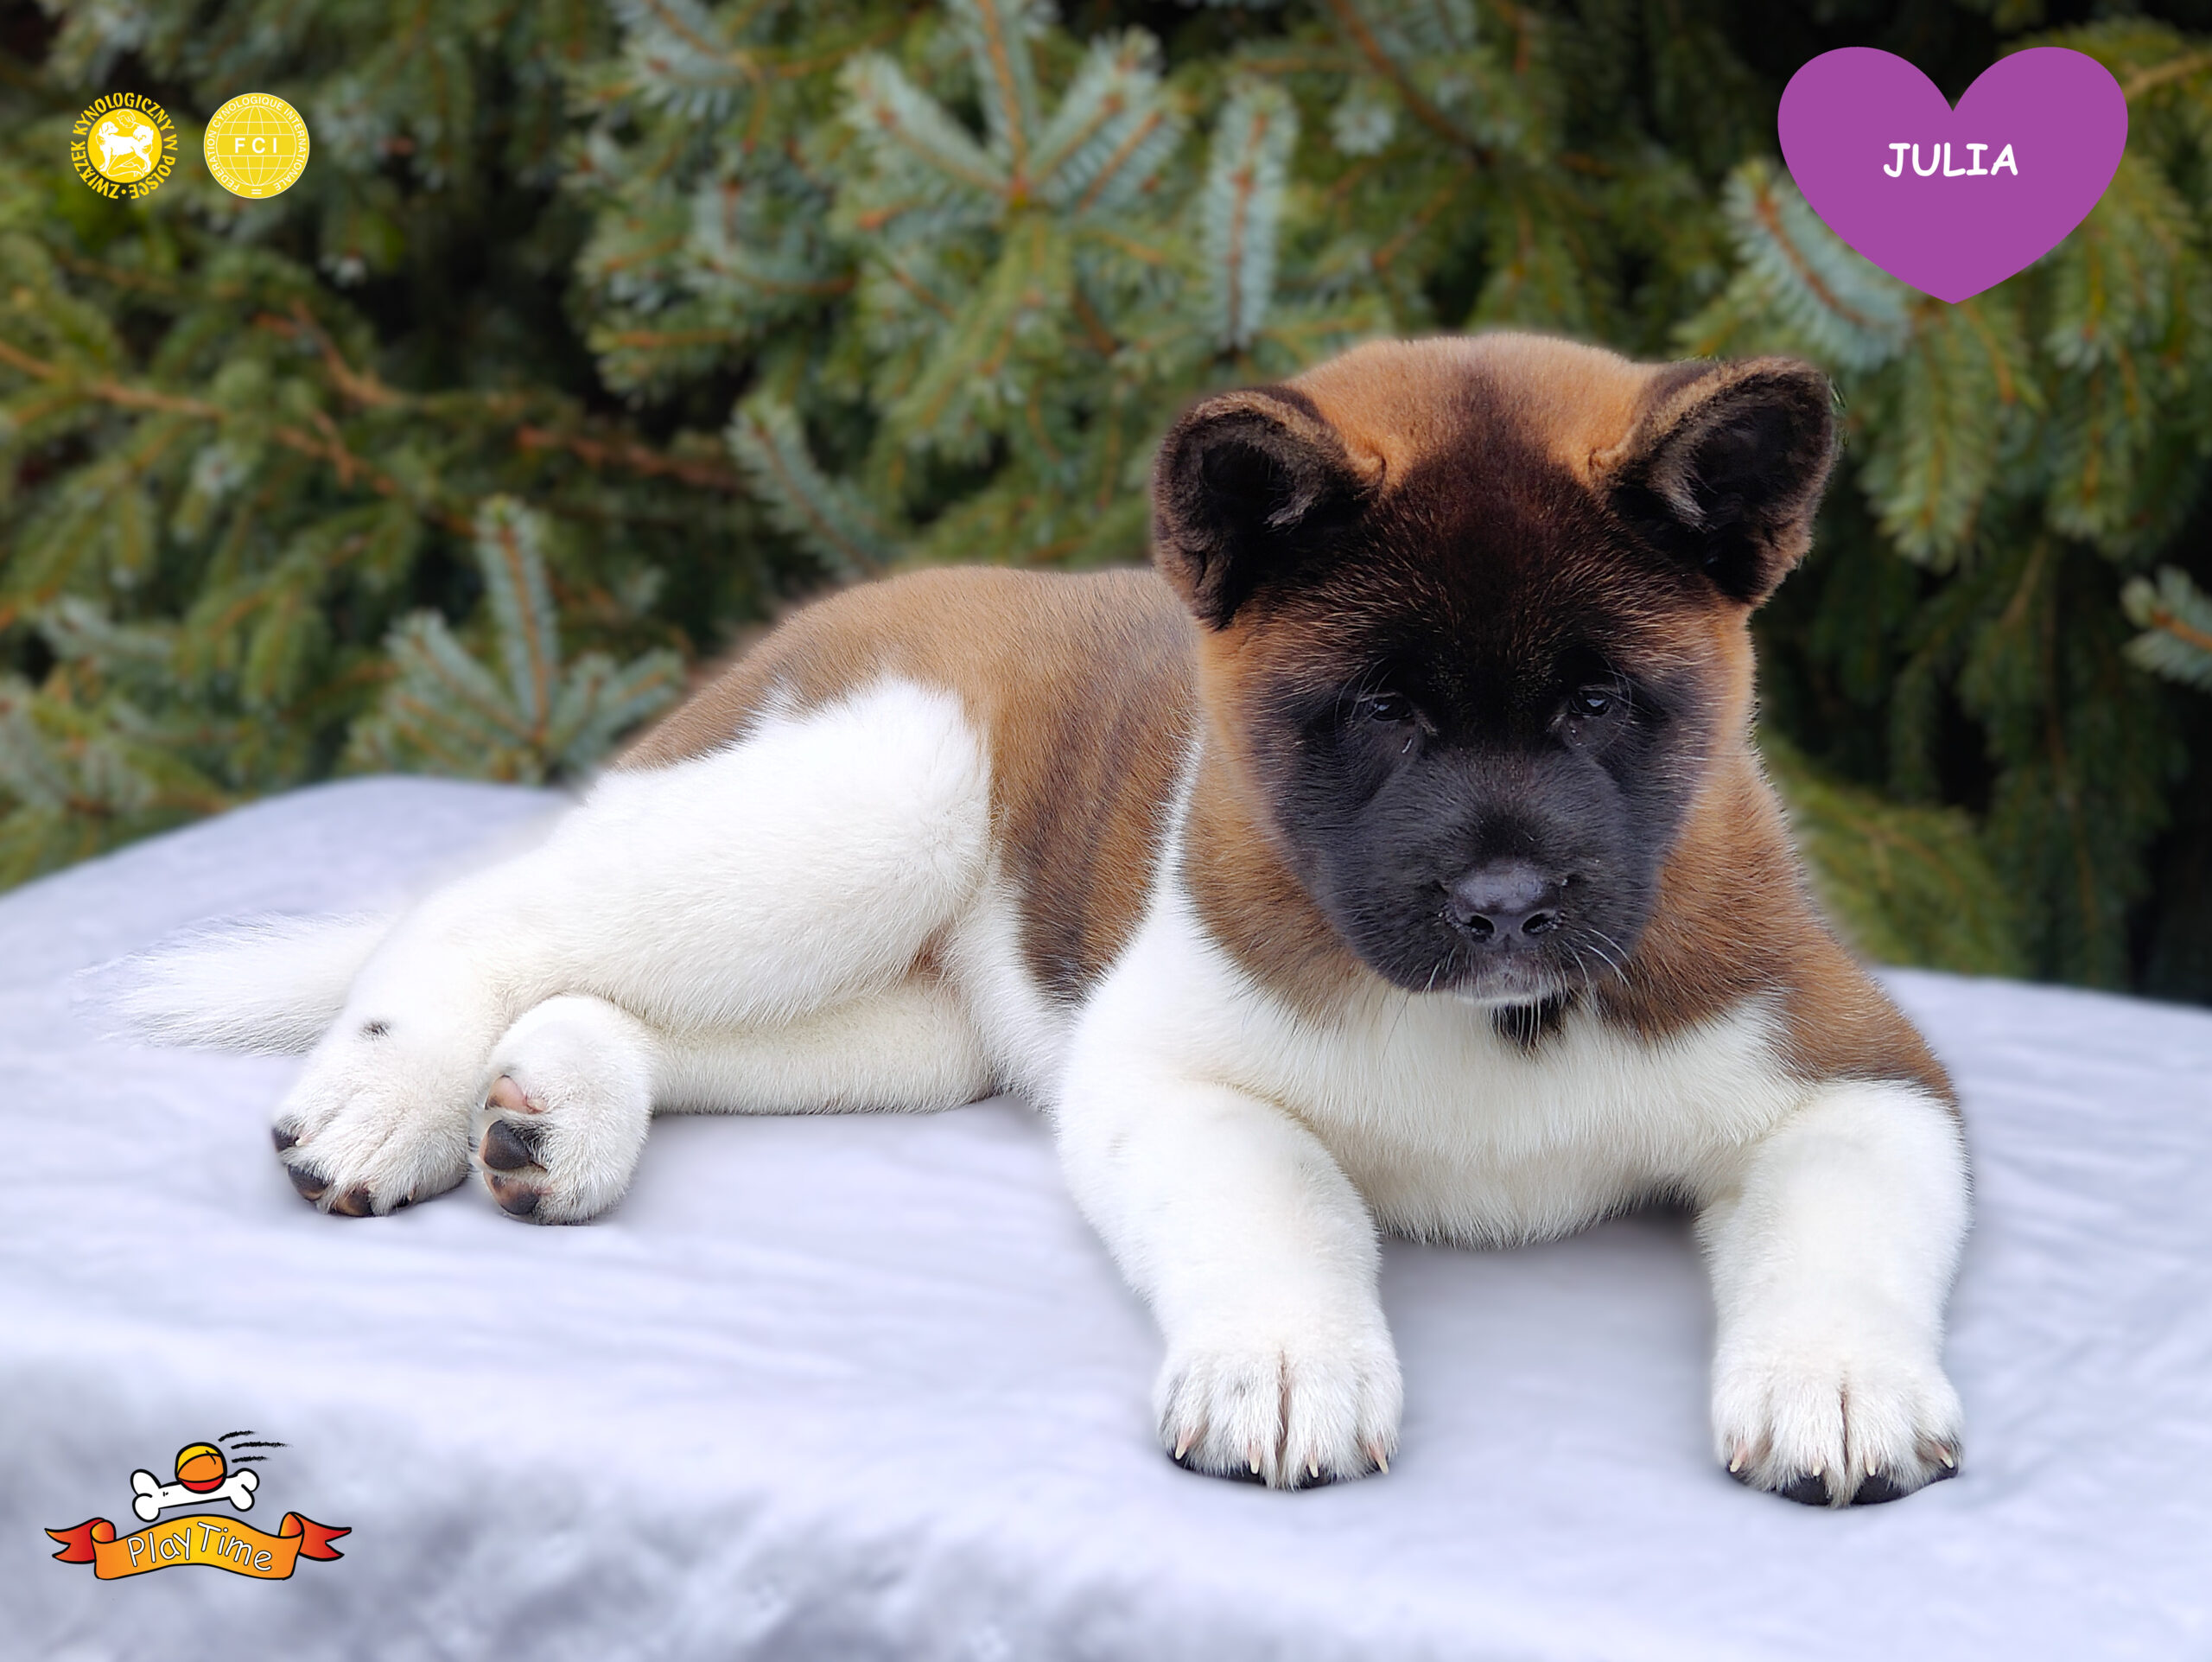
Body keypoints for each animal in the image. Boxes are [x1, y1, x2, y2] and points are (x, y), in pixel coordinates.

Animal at [116, 333, 1968, 1507]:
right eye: (1381, 710)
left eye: (1599, 705)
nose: (1508, 905)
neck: (1492, 1034)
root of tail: (822, 621)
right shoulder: (1168, 1072)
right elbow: (1282, 1199)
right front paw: (1283, 1362)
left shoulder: (1860, 1066)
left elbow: (1838, 1224)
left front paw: (1838, 1384)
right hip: (864, 804)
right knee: (488, 904)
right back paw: (389, 1091)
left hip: (908, 1023)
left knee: (627, 993)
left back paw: (549, 1110)